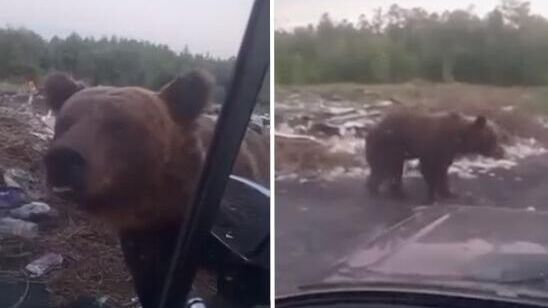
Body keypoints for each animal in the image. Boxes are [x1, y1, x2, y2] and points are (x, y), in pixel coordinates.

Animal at [366, 109, 504, 203]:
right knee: (386, 169)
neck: (460, 138)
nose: (501, 152)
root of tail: (372, 128)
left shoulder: (447, 152)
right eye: (494, 137)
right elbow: (430, 169)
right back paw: (386, 192)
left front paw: (448, 193)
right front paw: (433, 195)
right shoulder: (436, 146)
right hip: (389, 146)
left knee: (386, 170)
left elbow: (443, 171)